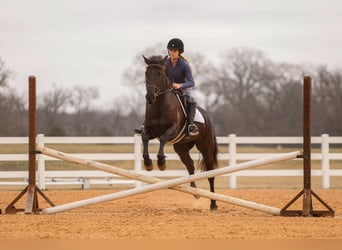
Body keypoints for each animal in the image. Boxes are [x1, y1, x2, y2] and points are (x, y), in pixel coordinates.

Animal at [142, 55, 219, 211]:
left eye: (160, 75)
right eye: (146, 74)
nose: (150, 98)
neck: (159, 104)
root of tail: (207, 118)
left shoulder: (172, 130)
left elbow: (163, 138)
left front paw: (161, 162)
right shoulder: (150, 131)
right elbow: (145, 137)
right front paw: (148, 163)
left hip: (205, 147)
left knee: (210, 172)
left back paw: (213, 203)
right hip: (181, 148)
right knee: (190, 165)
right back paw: (194, 191)